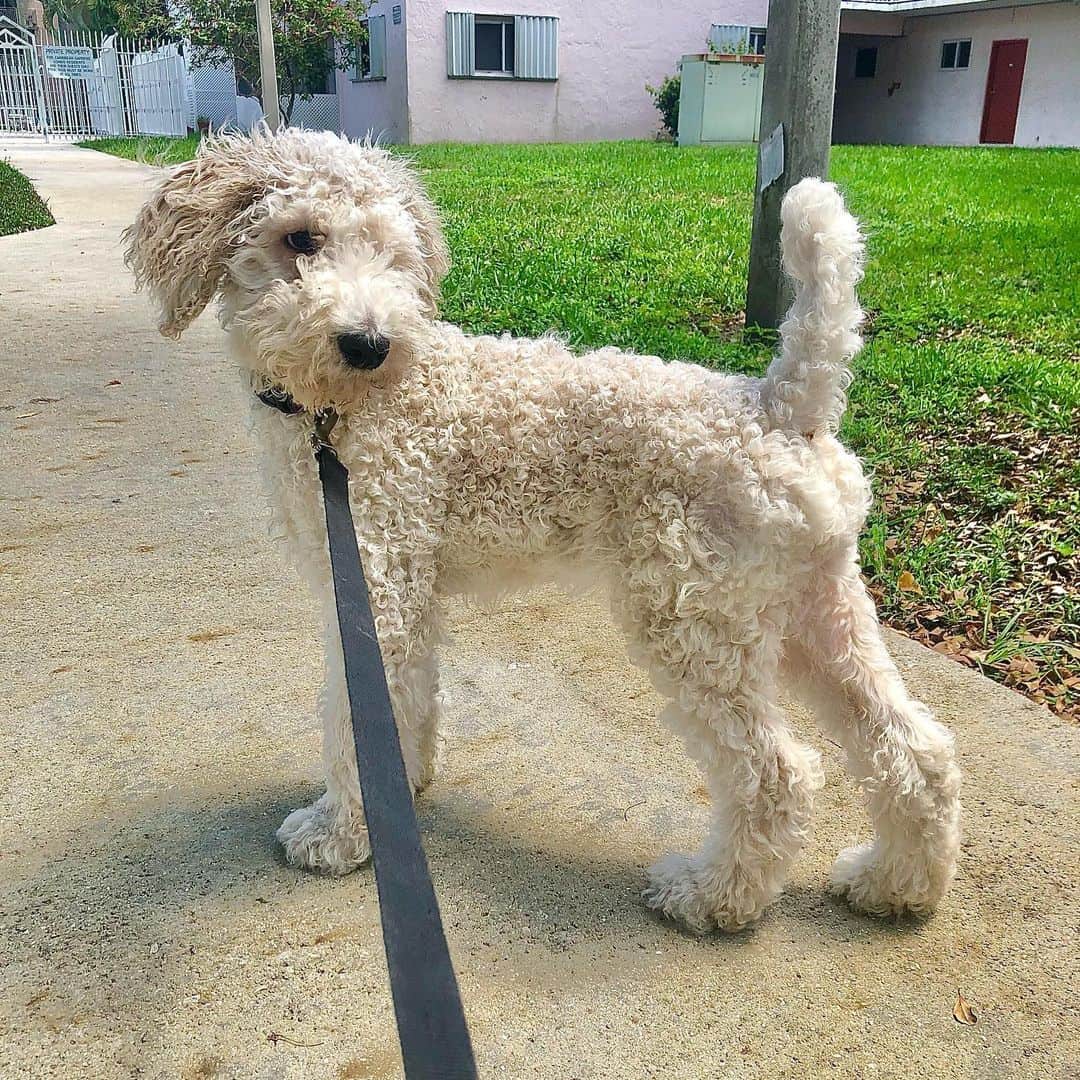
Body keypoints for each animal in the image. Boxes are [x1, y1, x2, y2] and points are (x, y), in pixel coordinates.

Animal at [126, 130, 963, 933]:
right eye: (300, 239)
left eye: (392, 252)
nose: (370, 344)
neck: (345, 413)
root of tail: (782, 404)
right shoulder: (407, 594)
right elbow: (409, 701)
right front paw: (406, 789)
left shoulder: (378, 585)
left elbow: (355, 717)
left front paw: (337, 835)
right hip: (811, 612)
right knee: (915, 751)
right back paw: (896, 886)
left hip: (694, 624)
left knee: (776, 773)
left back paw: (712, 898)